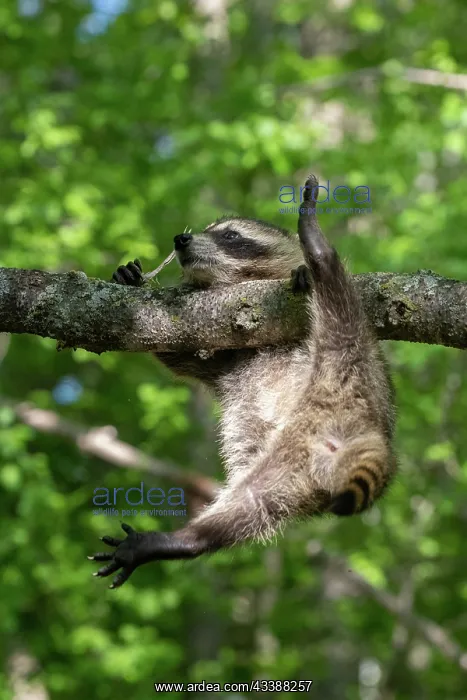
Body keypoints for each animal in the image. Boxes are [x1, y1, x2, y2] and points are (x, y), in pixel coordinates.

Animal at [89, 175, 396, 589]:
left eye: (231, 236)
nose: (181, 240)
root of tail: (370, 435)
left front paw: (303, 269)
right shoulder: (232, 353)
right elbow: (179, 350)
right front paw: (131, 280)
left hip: (347, 367)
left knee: (340, 307)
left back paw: (318, 252)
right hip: (288, 471)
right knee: (248, 506)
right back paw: (184, 540)